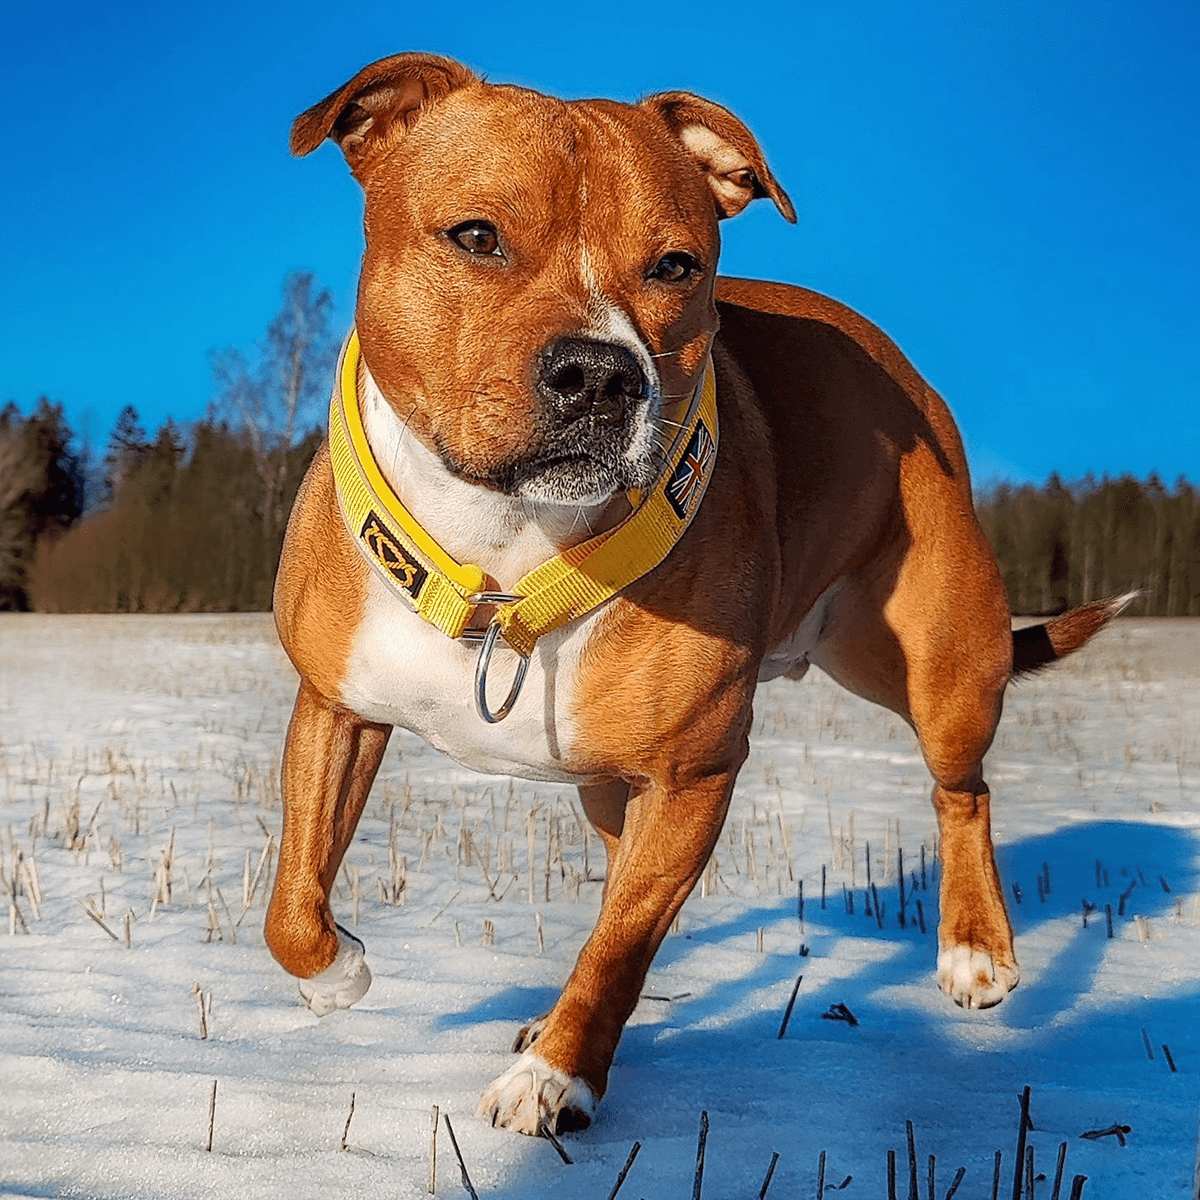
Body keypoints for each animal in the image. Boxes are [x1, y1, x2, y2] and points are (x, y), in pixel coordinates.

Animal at [267, 54, 1128, 1132]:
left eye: (676, 266)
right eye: (475, 237)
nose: (600, 375)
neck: (504, 552)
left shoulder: (693, 776)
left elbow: (619, 947)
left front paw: (557, 1076)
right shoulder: (335, 703)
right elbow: (293, 896)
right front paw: (336, 974)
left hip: (936, 660)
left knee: (961, 786)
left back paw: (976, 949)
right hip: (613, 775)